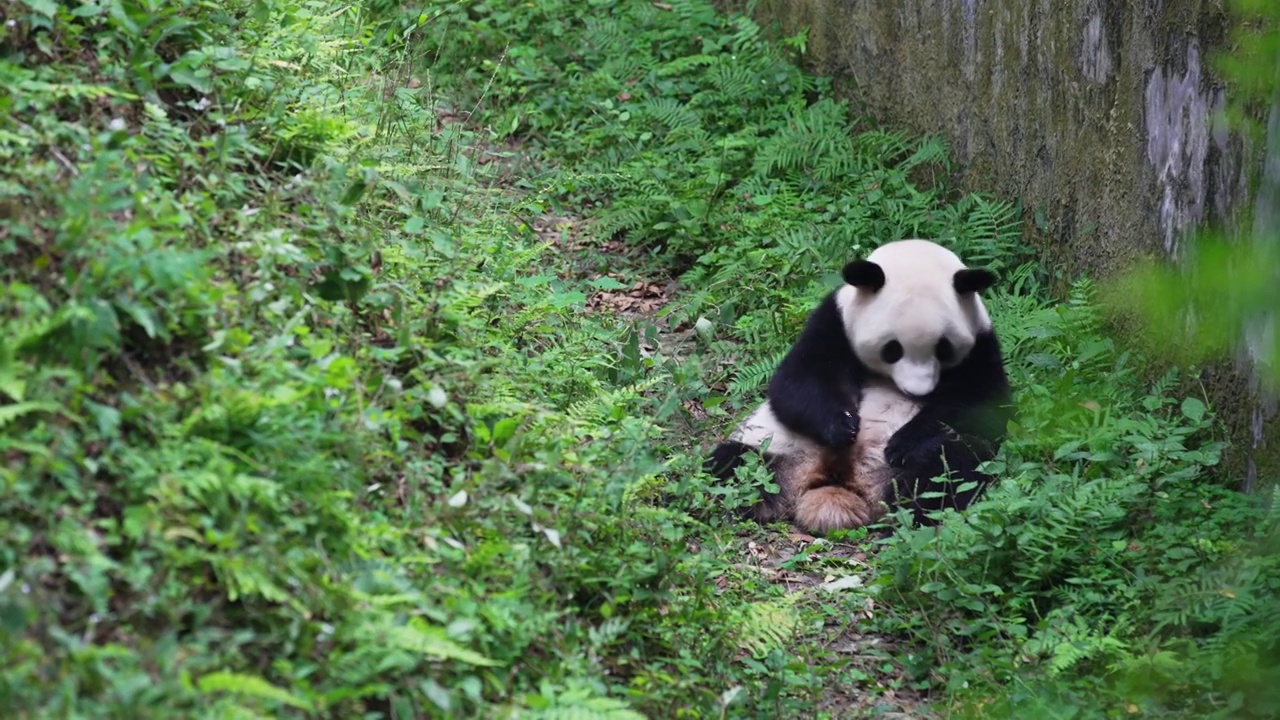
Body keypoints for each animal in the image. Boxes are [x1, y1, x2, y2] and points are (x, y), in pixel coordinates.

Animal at [706, 239, 1013, 532]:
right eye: (893, 349)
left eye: (943, 348)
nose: (917, 392)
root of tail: (839, 483)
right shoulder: (834, 321)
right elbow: (796, 384)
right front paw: (842, 427)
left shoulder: (982, 344)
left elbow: (984, 406)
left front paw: (904, 443)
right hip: (778, 447)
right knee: (734, 463)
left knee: (947, 467)